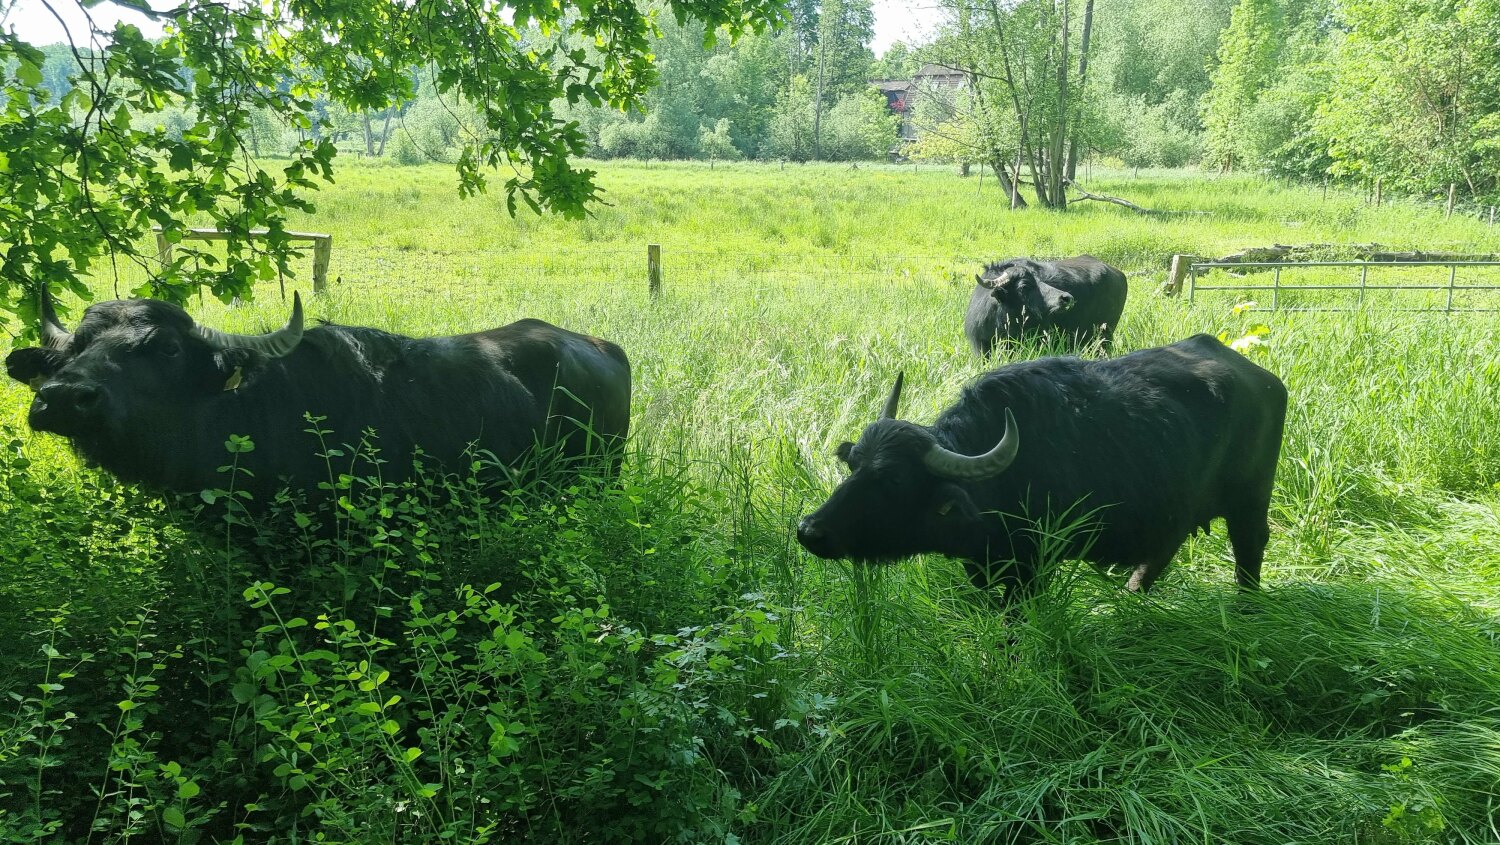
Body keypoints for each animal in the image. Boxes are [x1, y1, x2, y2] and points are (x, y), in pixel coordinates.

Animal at [798, 334, 1290, 606]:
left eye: (894, 480)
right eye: (853, 464)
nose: (809, 530)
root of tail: (1264, 380)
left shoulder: (1031, 568)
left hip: (1249, 504)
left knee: (1249, 553)